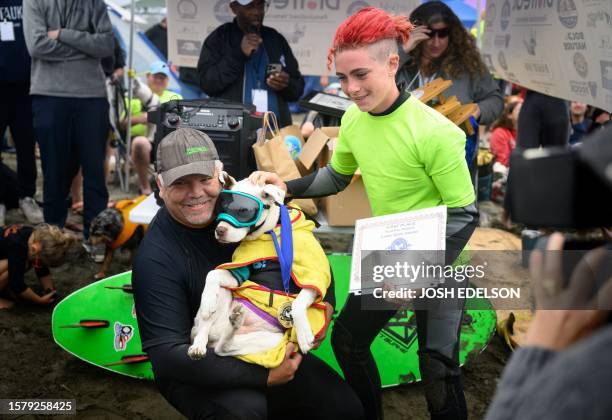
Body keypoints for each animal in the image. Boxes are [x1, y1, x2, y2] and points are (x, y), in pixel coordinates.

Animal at [188, 177, 332, 364]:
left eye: (244, 210)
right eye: (223, 207)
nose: (219, 230)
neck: (271, 231)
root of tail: (218, 333)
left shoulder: (314, 276)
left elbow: (298, 303)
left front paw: (304, 335)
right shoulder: (237, 275)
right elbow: (213, 273)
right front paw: (207, 302)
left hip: (271, 340)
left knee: (223, 347)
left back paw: (233, 324)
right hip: (225, 299)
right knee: (212, 337)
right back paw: (199, 344)